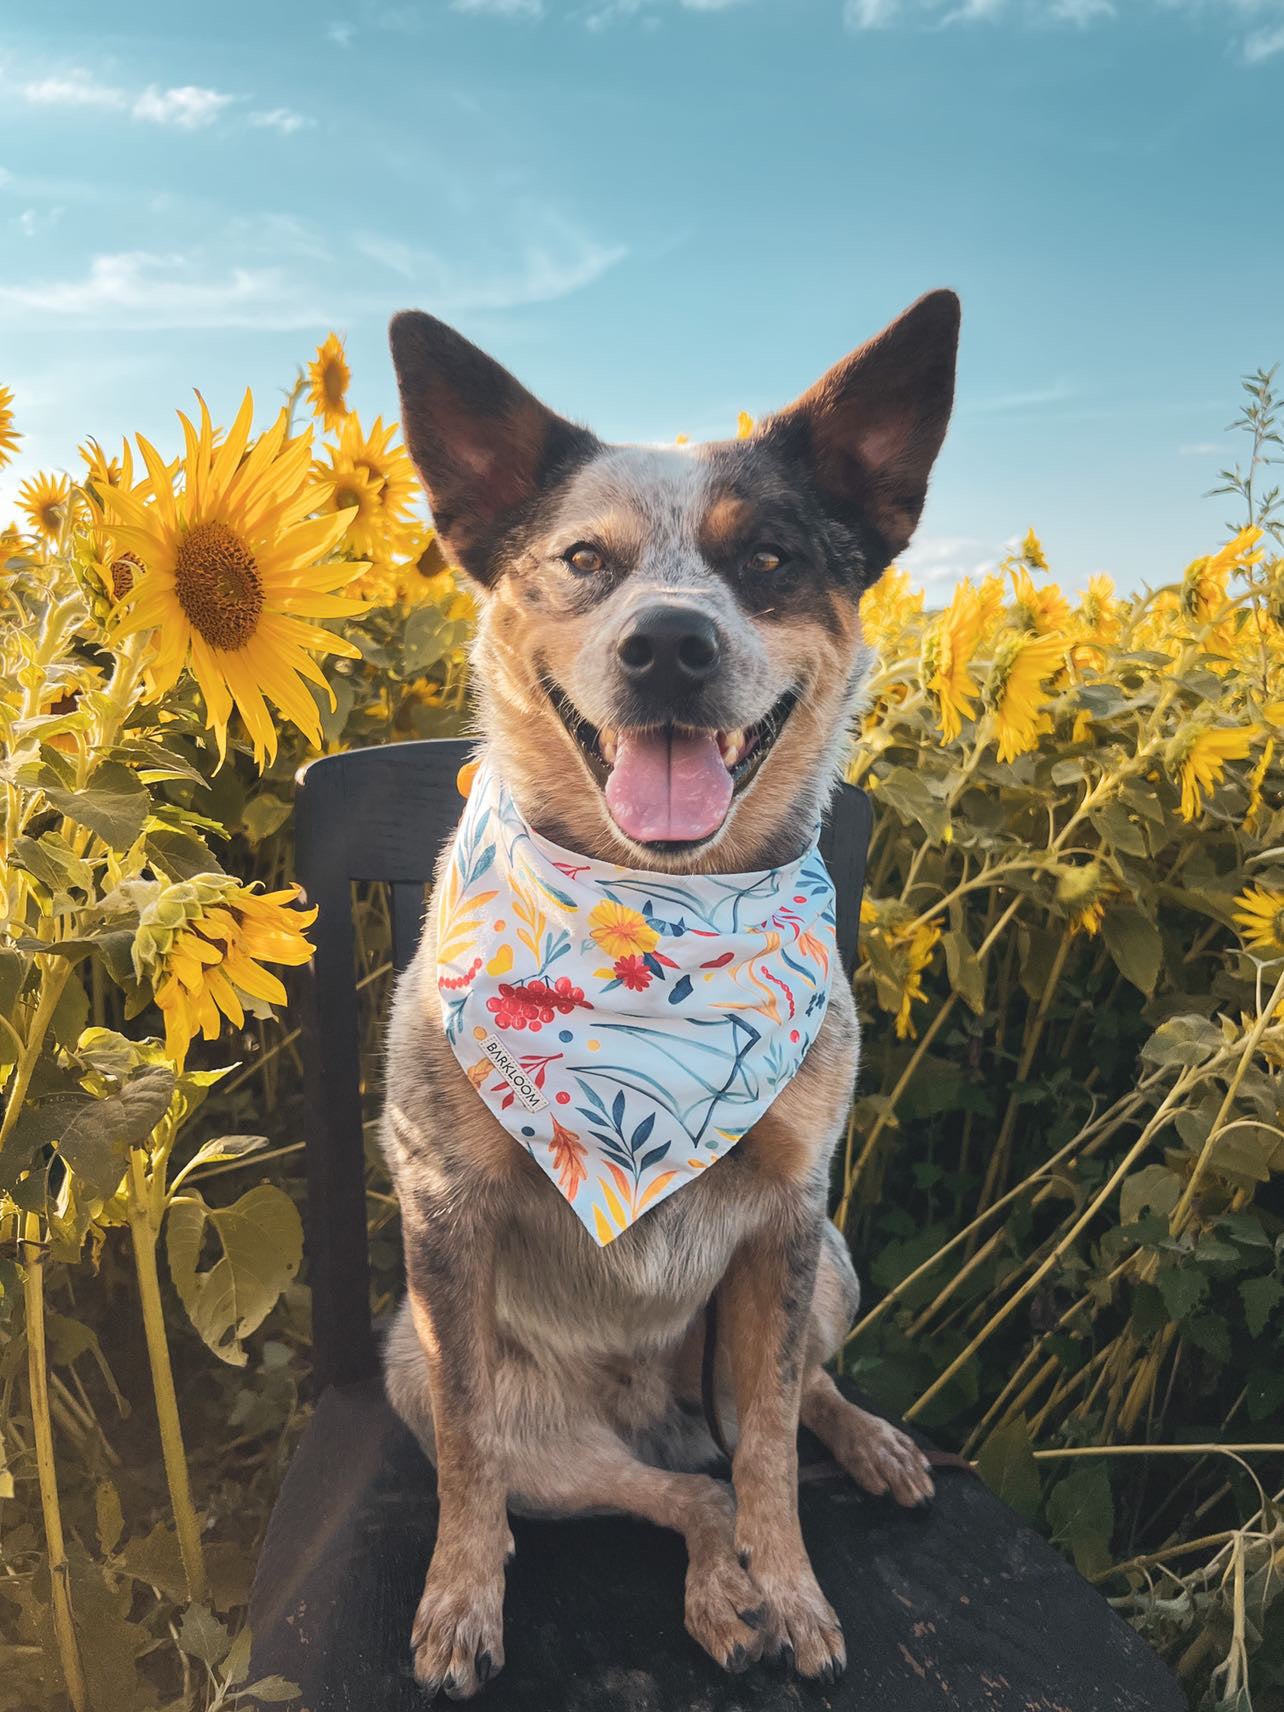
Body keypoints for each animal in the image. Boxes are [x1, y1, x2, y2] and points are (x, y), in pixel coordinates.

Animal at [376, 287, 958, 1691]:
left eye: (771, 559)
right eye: (588, 559)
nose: (672, 642)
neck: (655, 919)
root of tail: (655, 1413)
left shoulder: (791, 1214)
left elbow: (774, 1454)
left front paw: (794, 1586)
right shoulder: (441, 1212)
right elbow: (469, 1451)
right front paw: (460, 1597)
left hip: (831, 1264)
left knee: (769, 1418)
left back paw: (855, 1454)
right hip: (427, 1366)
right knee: (671, 1487)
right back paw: (711, 1585)